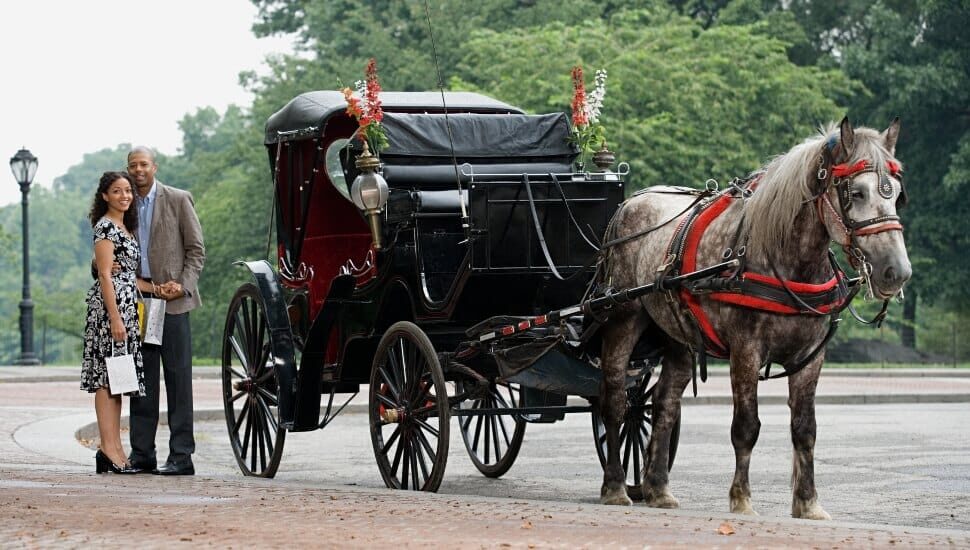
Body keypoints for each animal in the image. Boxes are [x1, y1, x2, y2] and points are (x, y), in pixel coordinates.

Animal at [596, 117, 908, 520]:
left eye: (897, 195)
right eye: (856, 193)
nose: (896, 271)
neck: (786, 259)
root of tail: (631, 201)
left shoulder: (811, 356)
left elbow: (805, 428)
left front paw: (808, 502)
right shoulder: (746, 350)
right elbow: (746, 426)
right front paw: (741, 499)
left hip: (676, 333)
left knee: (664, 404)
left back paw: (658, 488)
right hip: (624, 316)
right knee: (615, 400)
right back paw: (615, 486)